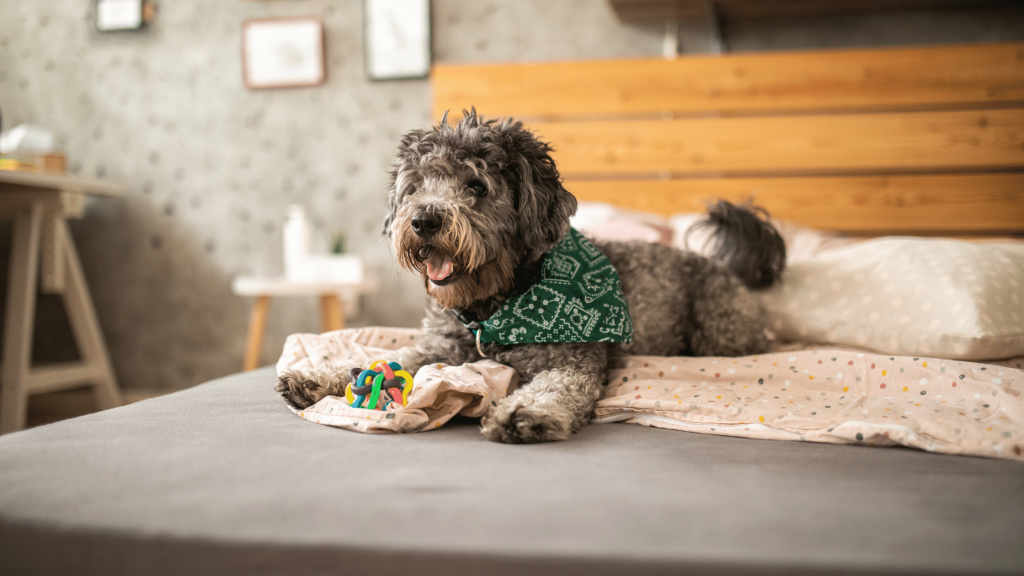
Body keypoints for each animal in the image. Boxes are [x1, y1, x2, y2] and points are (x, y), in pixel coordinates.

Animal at [276, 111, 786, 444]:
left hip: (719, 327)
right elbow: (384, 356)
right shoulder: (438, 347)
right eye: (416, 185)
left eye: (477, 187)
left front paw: (525, 411)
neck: (495, 307)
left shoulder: (573, 359)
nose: (423, 220)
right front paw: (317, 376)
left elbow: (556, 387)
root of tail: (729, 268)